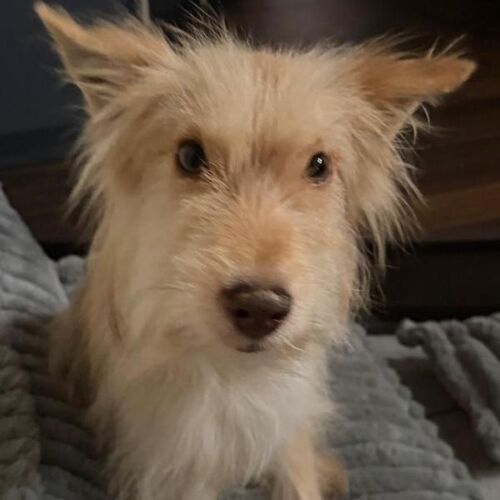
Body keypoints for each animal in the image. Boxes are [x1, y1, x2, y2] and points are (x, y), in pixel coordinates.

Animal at [36, 3, 475, 499]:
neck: (233, 371)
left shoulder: (290, 436)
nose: (260, 308)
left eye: (318, 165)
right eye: (190, 156)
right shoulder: (171, 467)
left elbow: (299, 474)